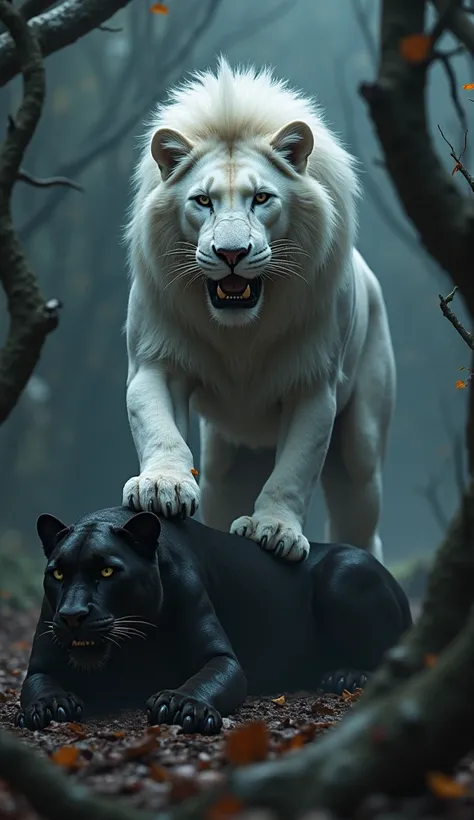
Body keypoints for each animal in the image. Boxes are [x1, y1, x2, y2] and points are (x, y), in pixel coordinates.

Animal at [122, 54, 396, 560]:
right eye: (202, 201)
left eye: (262, 198)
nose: (232, 253)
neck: (240, 333)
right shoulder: (156, 360)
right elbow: (157, 428)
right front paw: (162, 487)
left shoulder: (312, 385)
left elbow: (294, 471)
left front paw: (276, 531)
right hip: (227, 465)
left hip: (361, 449)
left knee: (360, 520)